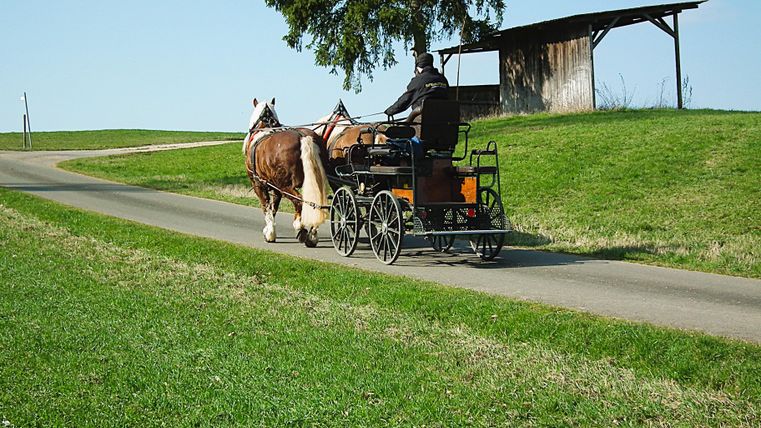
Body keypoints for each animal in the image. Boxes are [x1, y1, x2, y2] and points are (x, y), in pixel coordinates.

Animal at [242, 98, 329, 247]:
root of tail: (303, 137)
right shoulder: (275, 187)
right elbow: (274, 207)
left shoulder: (259, 184)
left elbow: (266, 206)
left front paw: (269, 233)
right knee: (317, 203)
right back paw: (312, 234)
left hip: (285, 186)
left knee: (299, 201)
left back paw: (300, 227)